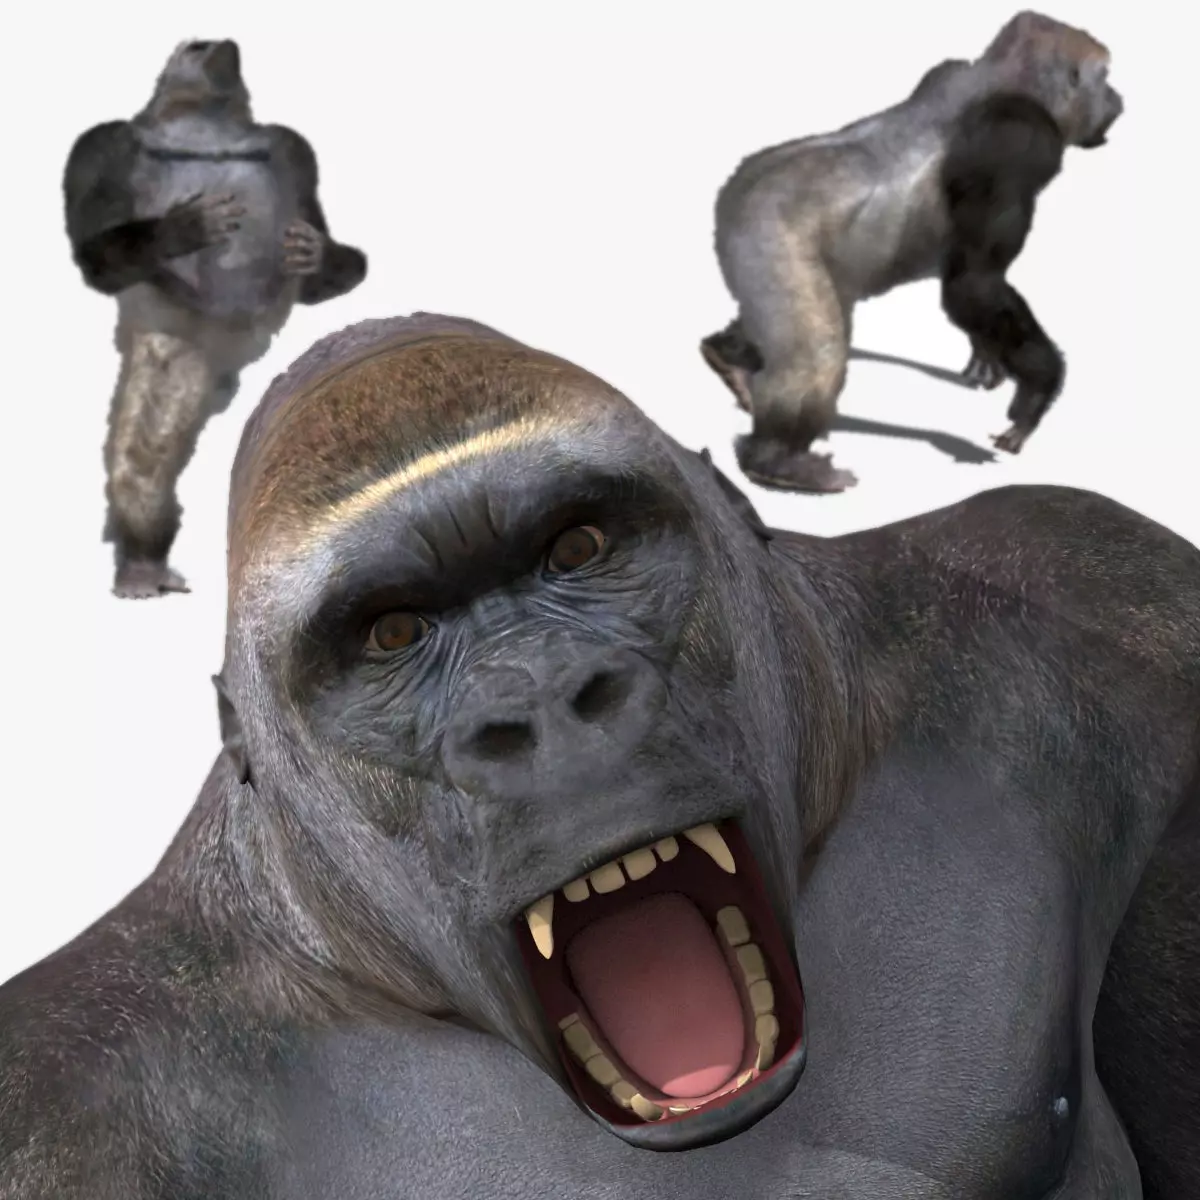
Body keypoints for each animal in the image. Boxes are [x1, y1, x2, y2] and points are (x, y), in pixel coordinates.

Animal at [63, 39, 368, 598]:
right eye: (197, 45)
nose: (225, 44)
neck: (207, 121)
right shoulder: (100, 147)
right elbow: (94, 253)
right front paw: (173, 233)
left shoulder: (295, 149)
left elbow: (323, 264)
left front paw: (320, 256)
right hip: (178, 342)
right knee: (144, 458)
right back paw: (142, 565)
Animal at [701, 11, 1124, 493]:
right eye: (1103, 79)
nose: (1118, 99)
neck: (1008, 75)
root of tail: (737, 187)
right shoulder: (1019, 139)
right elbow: (974, 281)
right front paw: (1037, 390)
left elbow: (971, 288)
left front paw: (987, 356)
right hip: (764, 231)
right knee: (818, 354)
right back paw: (777, 460)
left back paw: (728, 358)